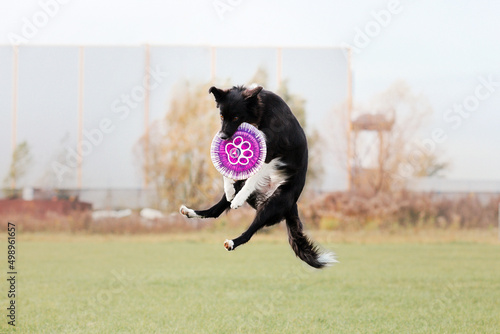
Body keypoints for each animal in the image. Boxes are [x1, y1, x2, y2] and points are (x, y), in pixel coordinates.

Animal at [180, 85, 336, 268]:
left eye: (236, 117)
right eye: (221, 116)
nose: (223, 137)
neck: (261, 113)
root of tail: (293, 205)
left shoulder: (271, 152)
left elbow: (254, 176)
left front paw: (238, 199)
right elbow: (228, 169)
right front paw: (229, 188)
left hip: (272, 204)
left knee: (249, 231)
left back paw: (232, 240)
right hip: (248, 194)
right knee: (216, 211)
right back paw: (191, 211)